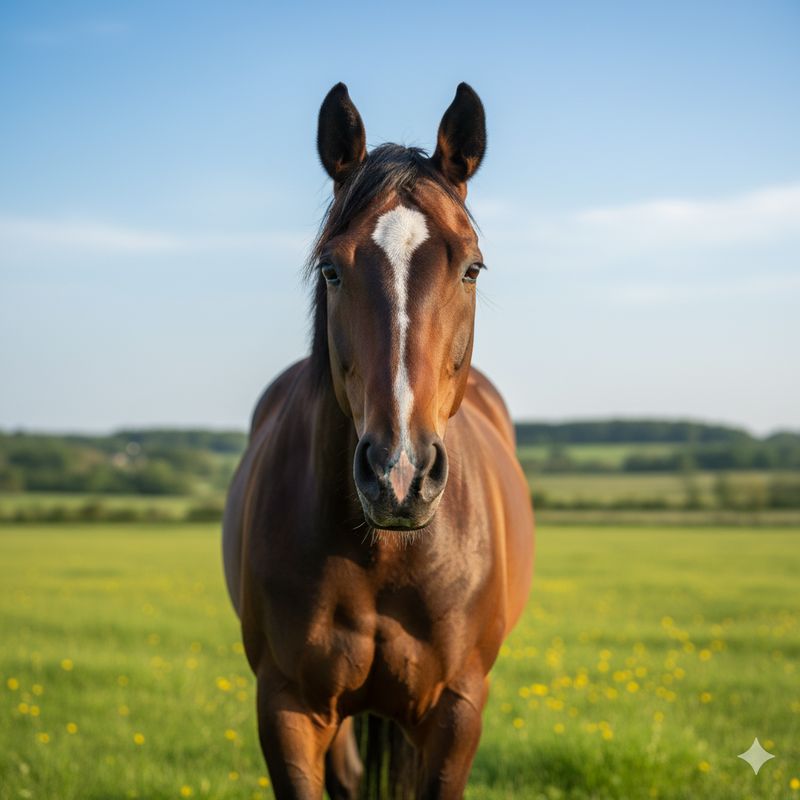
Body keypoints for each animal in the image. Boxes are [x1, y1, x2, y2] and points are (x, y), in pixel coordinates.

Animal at [223, 82, 534, 800]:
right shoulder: (287, 708)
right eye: (332, 270)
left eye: (472, 268)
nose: (399, 475)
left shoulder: (455, 710)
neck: (383, 555)